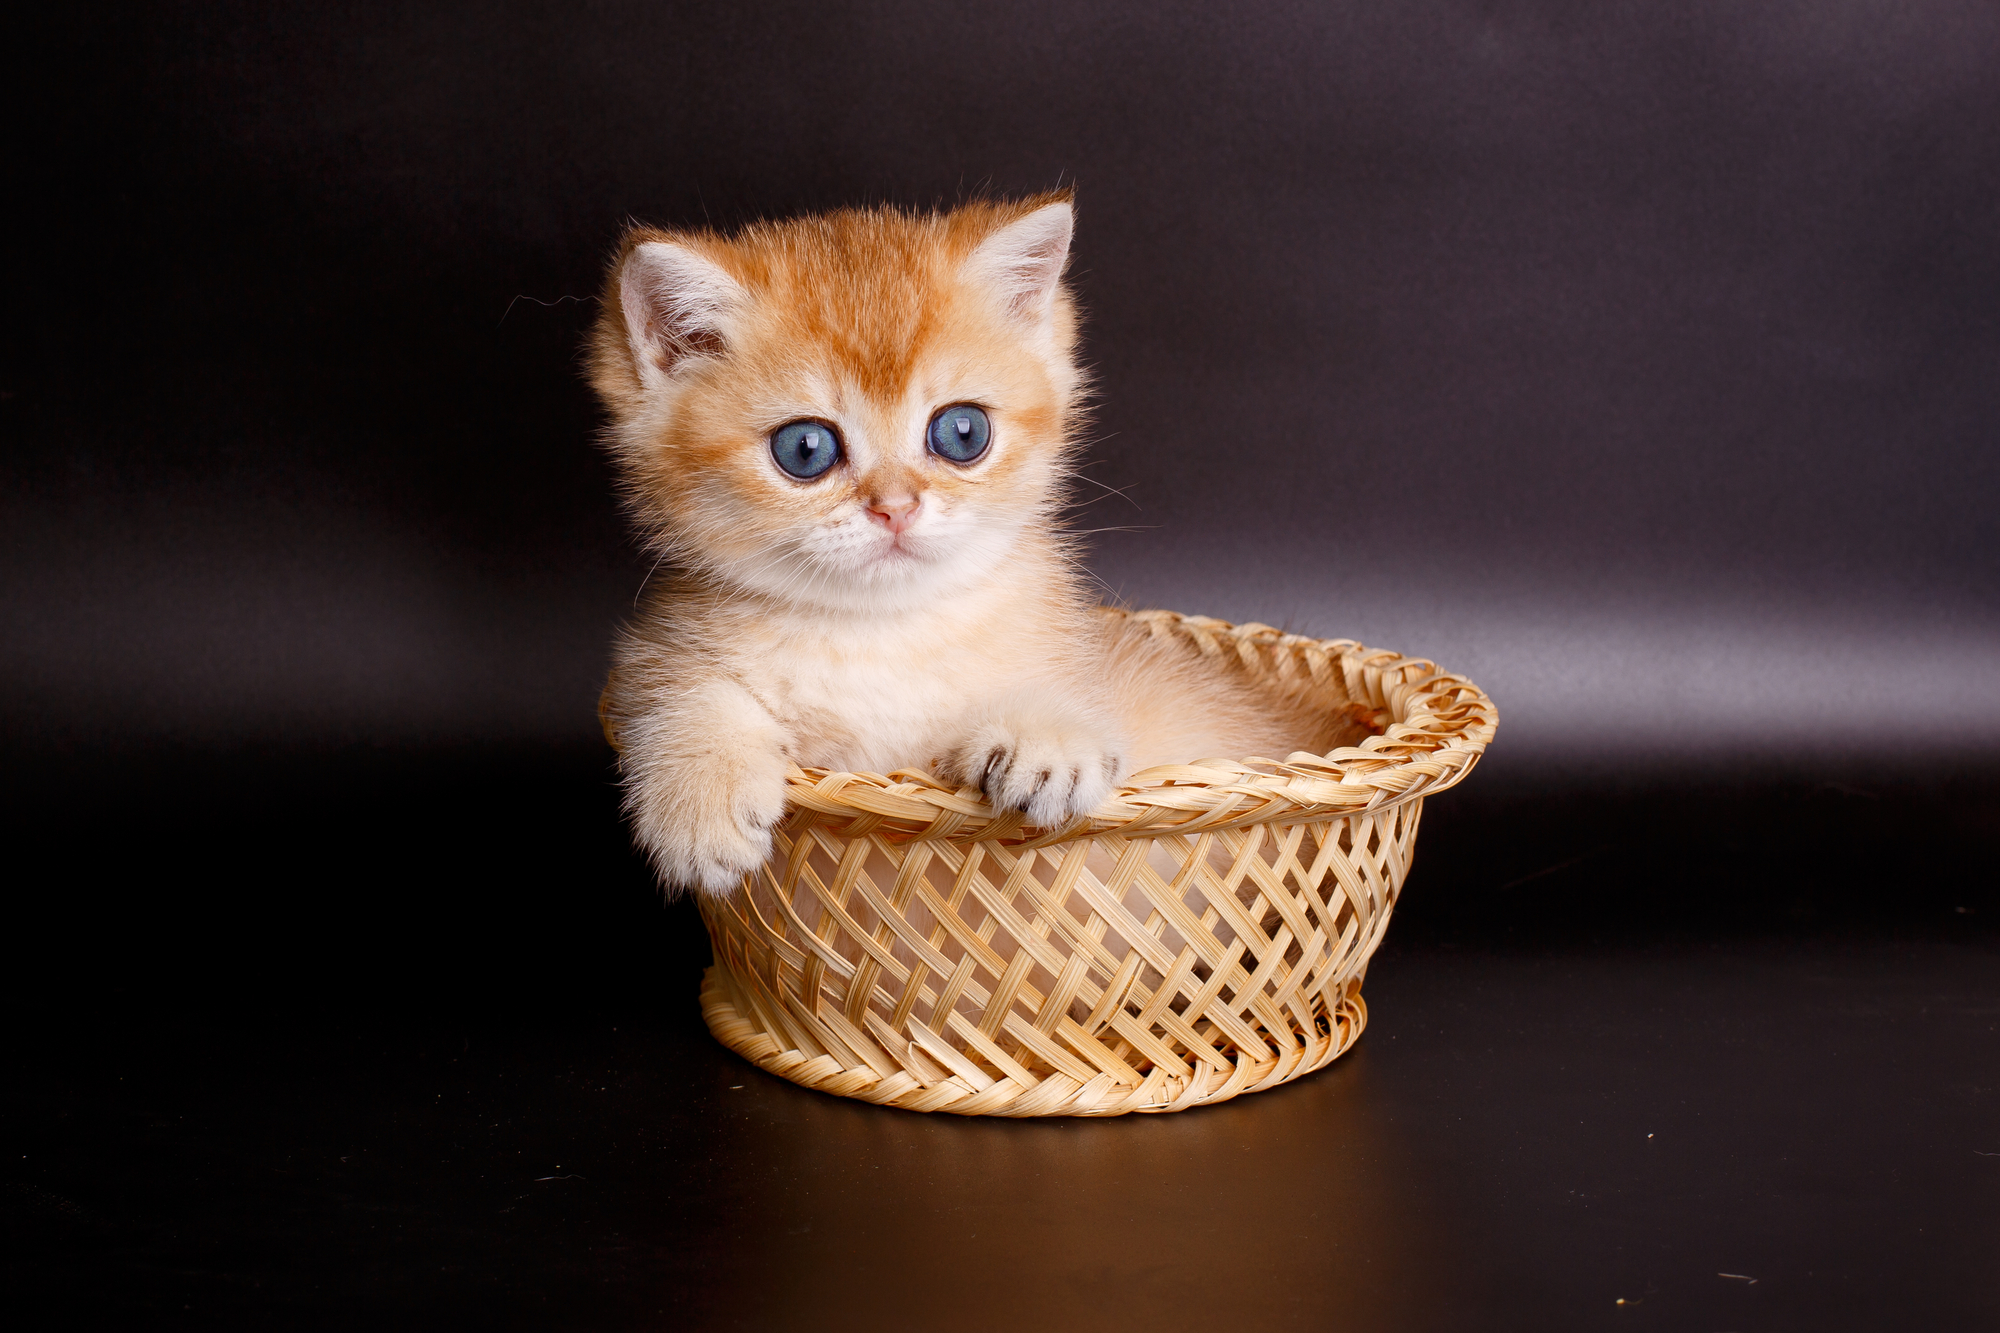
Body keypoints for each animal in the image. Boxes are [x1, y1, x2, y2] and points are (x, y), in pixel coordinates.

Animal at [580, 192, 1360, 896]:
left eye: (961, 433)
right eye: (804, 449)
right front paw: (700, 799)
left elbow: (1069, 695)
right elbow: (679, 689)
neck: (883, 637)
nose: (895, 508)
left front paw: (1048, 736)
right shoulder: (664, 643)